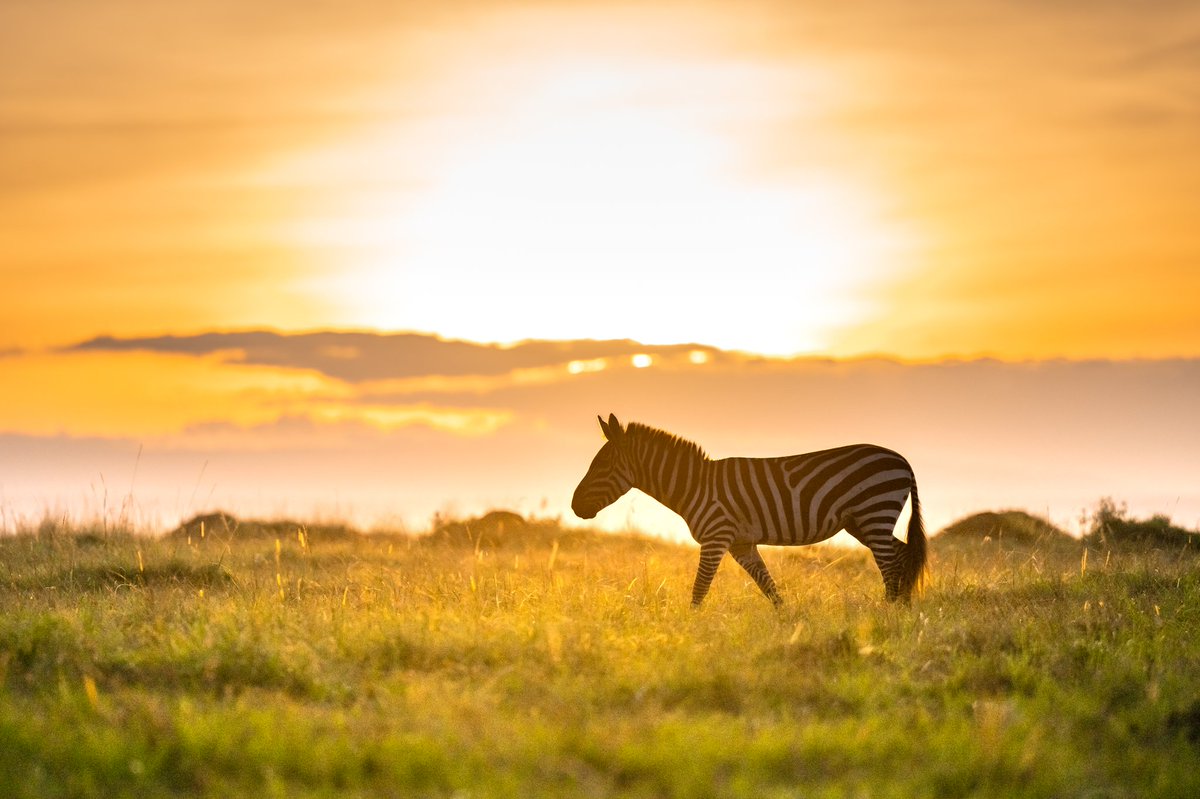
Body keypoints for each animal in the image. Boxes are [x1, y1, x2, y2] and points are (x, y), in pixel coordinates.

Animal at [571, 410, 926, 604]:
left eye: (601, 467)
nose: (574, 506)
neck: (694, 485)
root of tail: (903, 461)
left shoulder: (716, 537)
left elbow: (699, 590)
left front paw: (690, 634)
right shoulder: (741, 543)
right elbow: (769, 587)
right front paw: (790, 624)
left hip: (874, 513)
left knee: (890, 565)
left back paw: (889, 615)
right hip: (863, 522)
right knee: (903, 555)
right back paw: (902, 611)